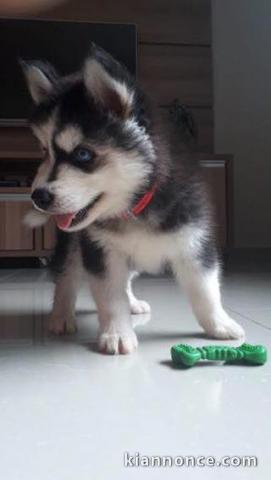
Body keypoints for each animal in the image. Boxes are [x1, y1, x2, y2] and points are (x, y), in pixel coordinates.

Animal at [21, 45, 244, 352]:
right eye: (45, 151)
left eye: (83, 154)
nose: (37, 196)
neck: (135, 206)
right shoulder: (99, 250)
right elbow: (110, 296)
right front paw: (117, 333)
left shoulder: (193, 239)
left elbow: (205, 289)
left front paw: (219, 324)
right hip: (74, 244)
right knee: (67, 276)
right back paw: (61, 315)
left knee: (125, 278)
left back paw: (133, 302)